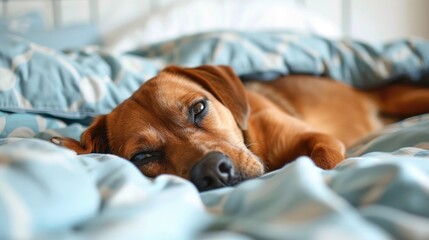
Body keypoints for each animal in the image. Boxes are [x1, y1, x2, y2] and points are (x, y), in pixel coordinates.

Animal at [51, 64, 428, 190]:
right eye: (143, 157)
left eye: (199, 108)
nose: (212, 172)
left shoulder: (317, 137)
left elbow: (323, 159)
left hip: (406, 98)